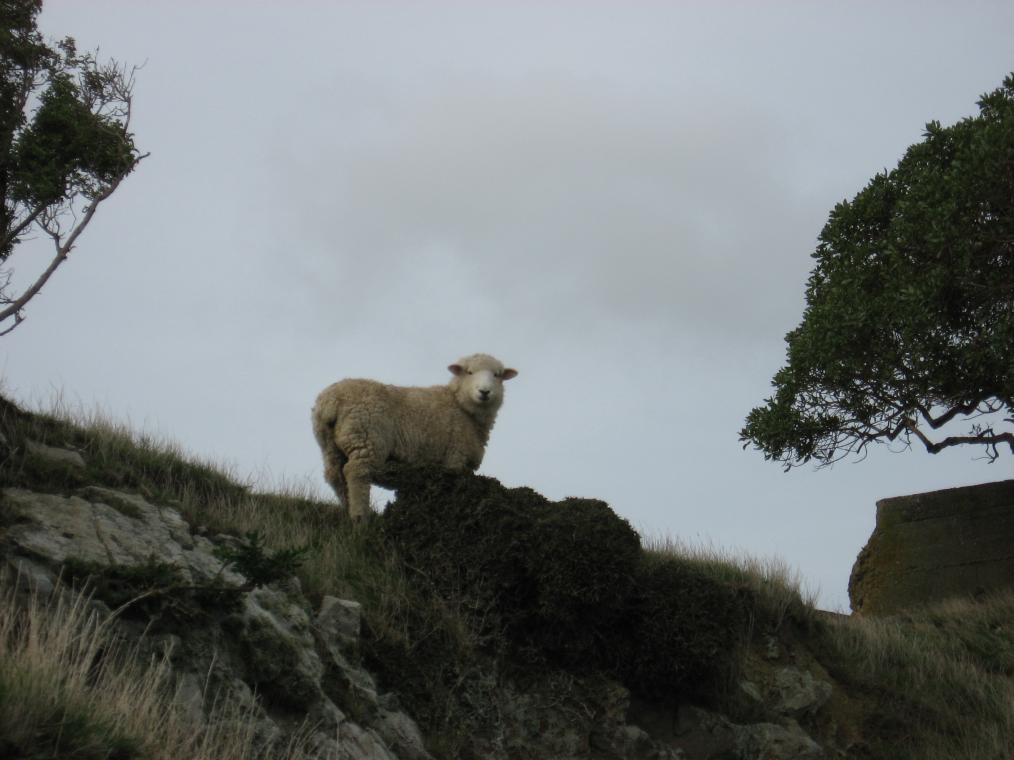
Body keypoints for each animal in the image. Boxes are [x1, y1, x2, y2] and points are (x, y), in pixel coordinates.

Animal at [311, 353, 518, 519]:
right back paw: (361, 518)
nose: (485, 391)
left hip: (329, 444)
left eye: (497, 375)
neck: (461, 406)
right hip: (366, 437)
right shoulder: (455, 457)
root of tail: (332, 400)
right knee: (356, 471)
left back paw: (347, 509)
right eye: (469, 372)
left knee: (335, 475)